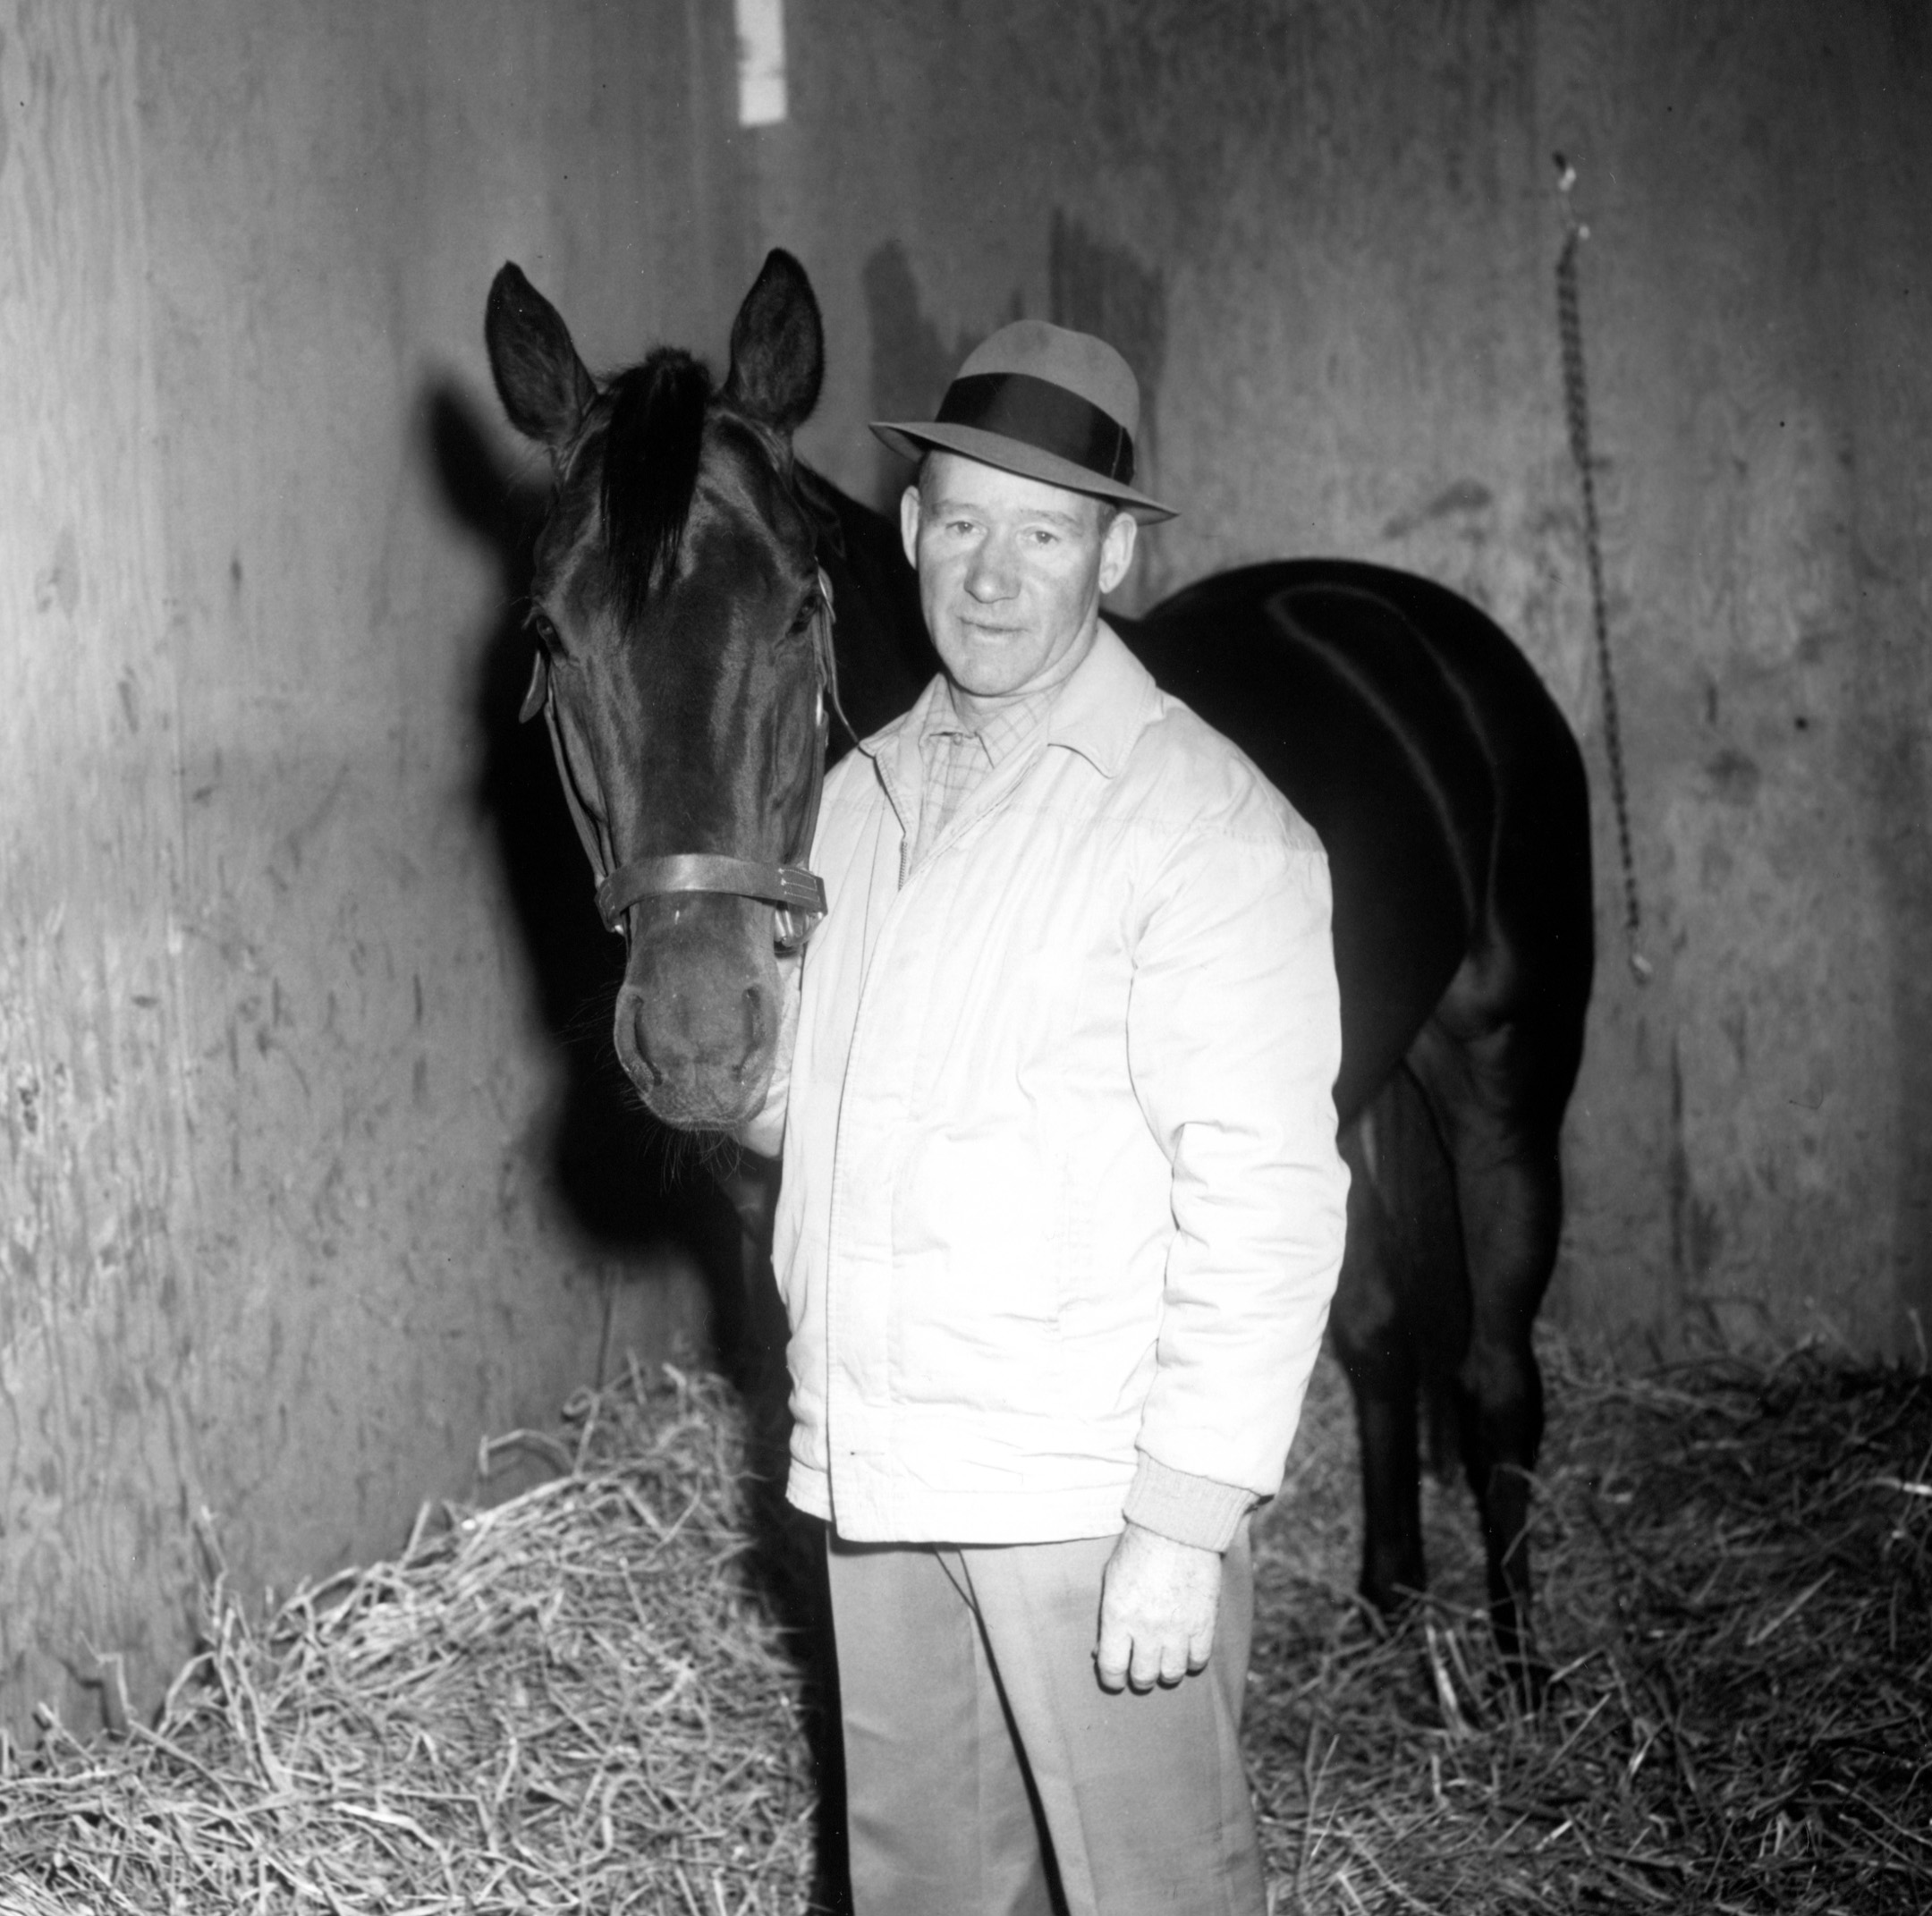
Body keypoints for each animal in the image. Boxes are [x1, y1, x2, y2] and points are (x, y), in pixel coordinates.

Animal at [487, 250, 1599, 1676]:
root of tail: (1412, 630)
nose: (695, 1039)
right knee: (1376, 1336)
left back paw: (1518, 1682)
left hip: (1506, 1074)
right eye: (551, 634)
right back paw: (1389, 1604)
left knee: (1498, 1380)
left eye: (796, 612)